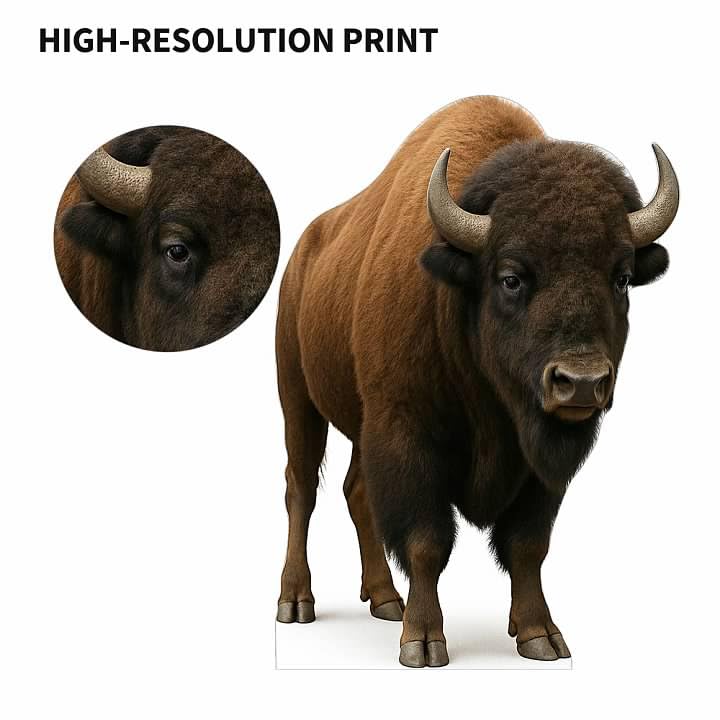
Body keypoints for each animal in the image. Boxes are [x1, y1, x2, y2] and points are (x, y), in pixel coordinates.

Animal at [275, 96, 678, 667]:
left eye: (621, 278)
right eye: (511, 277)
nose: (581, 383)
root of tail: (301, 256)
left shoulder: (539, 466)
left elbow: (528, 546)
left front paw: (539, 636)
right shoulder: (406, 435)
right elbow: (426, 542)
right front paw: (423, 643)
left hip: (358, 421)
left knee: (357, 493)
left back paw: (385, 599)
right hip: (297, 398)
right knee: (302, 489)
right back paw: (295, 602)